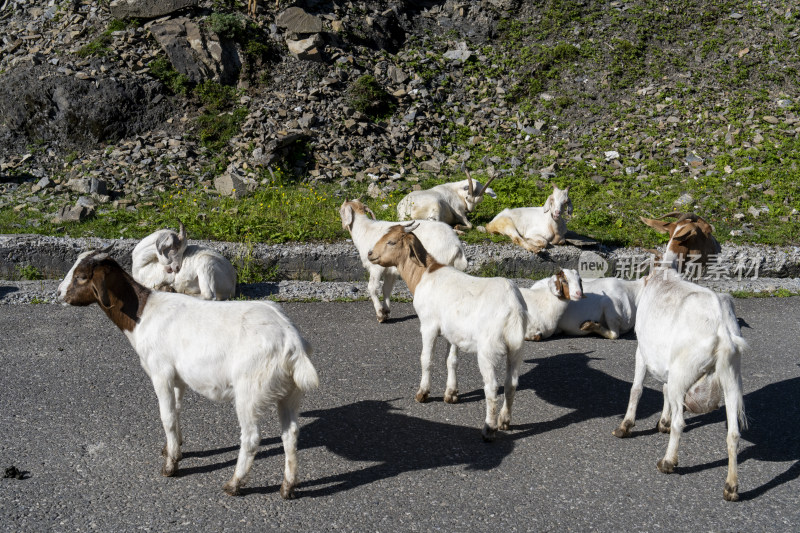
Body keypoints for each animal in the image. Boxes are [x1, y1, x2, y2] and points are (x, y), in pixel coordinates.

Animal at [340, 200, 468, 322]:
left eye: (341, 211)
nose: (343, 226)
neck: (364, 230)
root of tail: (456, 246)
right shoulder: (390, 270)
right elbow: (386, 289)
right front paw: (386, 311)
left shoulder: (376, 267)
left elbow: (372, 288)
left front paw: (380, 314)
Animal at [366, 221, 528, 440]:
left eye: (391, 241)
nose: (370, 254)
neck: (424, 274)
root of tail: (513, 308)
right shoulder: (453, 332)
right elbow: (451, 360)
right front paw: (451, 393)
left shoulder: (428, 324)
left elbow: (426, 359)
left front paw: (422, 393)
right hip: (517, 348)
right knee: (511, 384)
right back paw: (504, 421)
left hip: (488, 350)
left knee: (492, 387)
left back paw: (489, 429)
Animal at [612, 268, 752, 500]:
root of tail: (722, 330)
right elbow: (664, 390)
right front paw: (662, 422)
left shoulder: (642, 351)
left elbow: (637, 389)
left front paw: (625, 426)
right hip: (731, 377)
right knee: (733, 433)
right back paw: (731, 487)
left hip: (682, 372)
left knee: (680, 422)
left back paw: (667, 462)